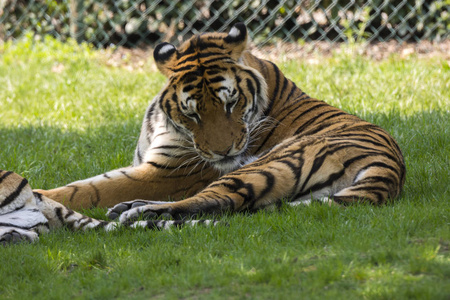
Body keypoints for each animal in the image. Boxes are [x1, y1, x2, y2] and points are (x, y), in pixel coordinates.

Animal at [0, 23, 406, 243]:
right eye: (192, 111)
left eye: (231, 102)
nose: (224, 153)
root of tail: (388, 171)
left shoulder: (165, 173)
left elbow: (85, 190)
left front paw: (35, 193)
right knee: (231, 204)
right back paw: (132, 210)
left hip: (267, 163)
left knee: (220, 199)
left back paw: (136, 211)